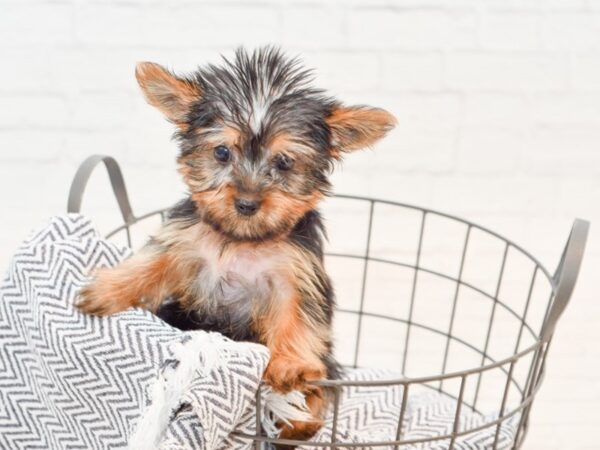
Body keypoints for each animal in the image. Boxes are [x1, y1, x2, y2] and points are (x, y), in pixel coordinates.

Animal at [78, 47, 398, 442]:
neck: (240, 239)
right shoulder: (184, 244)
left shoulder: (296, 274)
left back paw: (300, 421)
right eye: (221, 153)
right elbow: (153, 262)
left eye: (284, 161)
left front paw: (289, 365)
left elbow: (296, 317)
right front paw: (109, 289)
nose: (246, 203)